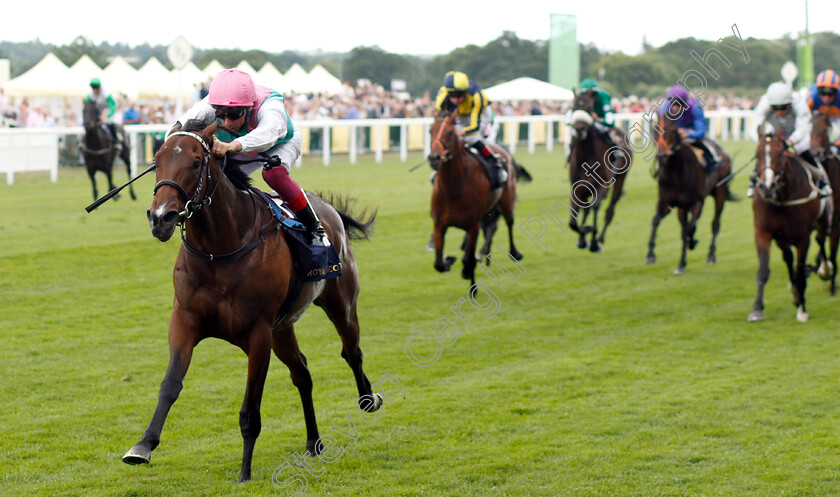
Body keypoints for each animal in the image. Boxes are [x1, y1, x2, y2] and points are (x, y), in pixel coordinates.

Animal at [123, 120, 382, 480]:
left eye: (195, 162)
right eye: (156, 160)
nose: (161, 217)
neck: (220, 249)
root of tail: (329, 210)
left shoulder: (258, 333)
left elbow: (250, 408)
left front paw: (245, 471)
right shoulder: (185, 320)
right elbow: (171, 384)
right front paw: (142, 446)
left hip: (339, 305)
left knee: (352, 351)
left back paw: (368, 398)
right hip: (282, 328)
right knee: (302, 373)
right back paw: (313, 442)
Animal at [430, 108, 520, 286]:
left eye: (451, 132)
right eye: (430, 131)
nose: (434, 158)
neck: (453, 188)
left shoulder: (473, 225)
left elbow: (468, 260)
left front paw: (467, 273)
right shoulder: (439, 224)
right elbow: (438, 263)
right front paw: (449, 260)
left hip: (506, 200)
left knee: (509, 222)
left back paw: (514, 253)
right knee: (491, 227)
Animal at [564, 90, 632, 252]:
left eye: (589, 107)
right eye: (574, 106)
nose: (580, 129)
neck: (586, 156)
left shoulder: (602, 185)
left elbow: (595, 207)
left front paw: (593, 239)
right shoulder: (577, 187)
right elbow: (573, 221)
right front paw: (583, 235)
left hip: (620, 179)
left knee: (609, 211)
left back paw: (599, 240)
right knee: (587, 210)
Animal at [648, 106, 732, 274]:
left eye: (672, 130)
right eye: (654, 129)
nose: (662, 156)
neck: (676, 172)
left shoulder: (697, 202)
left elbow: (690, 228)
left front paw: (691, 244)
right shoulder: (667, 202)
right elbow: (655, 221)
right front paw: (652, 255)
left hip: (720, 192)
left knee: (715, 224)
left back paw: (711, 255)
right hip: (683, 207)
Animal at [748, 127, 832, 322]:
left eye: (780, 153)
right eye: (757, 154)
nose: (767, 187)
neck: (781, 198)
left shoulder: (803, 238)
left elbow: (800, 271)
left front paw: (802, 310)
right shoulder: (762, 232)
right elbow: (763, 270)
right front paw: (757, 309)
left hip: (823, 221)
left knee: (821, 240)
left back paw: (825, 270)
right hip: (782, 238)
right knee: (788, 258)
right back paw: (794, 292)